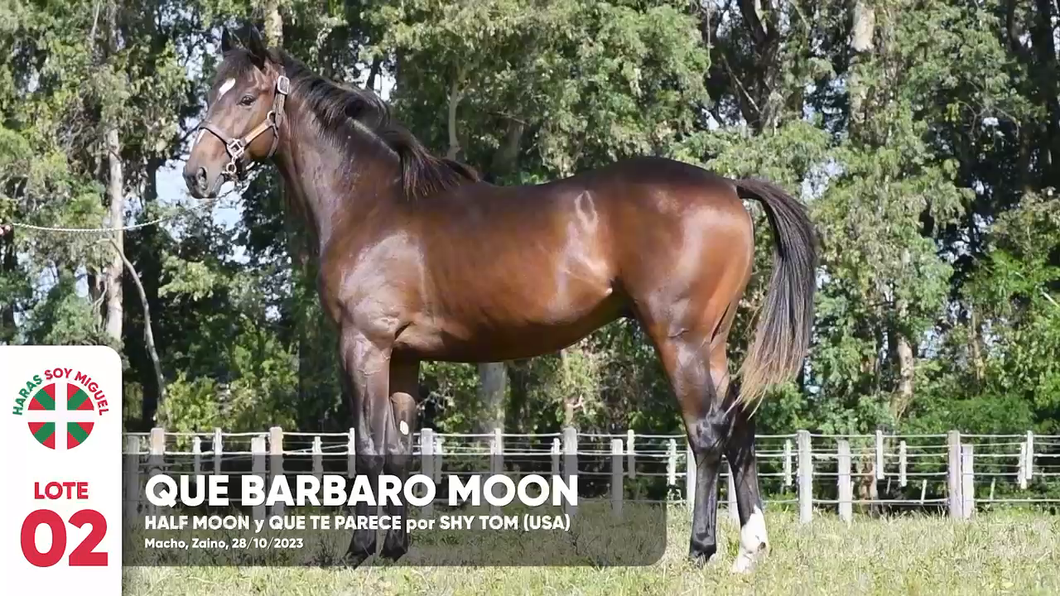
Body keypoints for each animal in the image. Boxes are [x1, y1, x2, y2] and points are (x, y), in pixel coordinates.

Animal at [183, 27, 816, 572]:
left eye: (245, 97)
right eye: (212, 92)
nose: (196, 176)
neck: (372, 203)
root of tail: (728, 185)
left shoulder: (365, 345)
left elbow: (366, 449)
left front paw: (359, 551)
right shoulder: (404, 356)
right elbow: (398, 452)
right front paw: (393, 550)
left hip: (679, 340)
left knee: (706, 434)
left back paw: (701, 550)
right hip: (712, 343)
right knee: (739, 427)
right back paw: (749, 551)